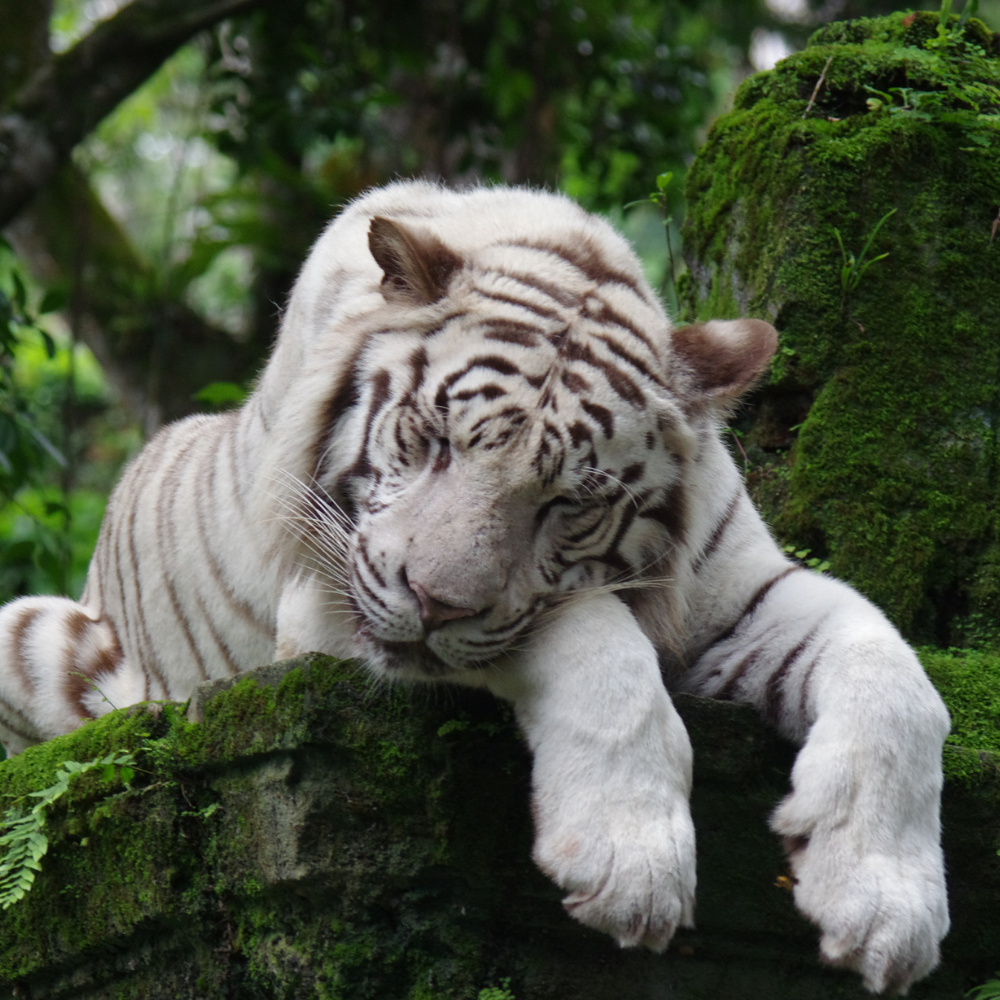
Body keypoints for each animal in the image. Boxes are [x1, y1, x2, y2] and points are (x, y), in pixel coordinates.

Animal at [0, 181, 949, 995]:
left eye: (571, 503)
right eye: (431, 438)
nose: (435, 604)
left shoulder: (743, 586)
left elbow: (897, 676)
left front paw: (888, 907)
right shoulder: (331, 597)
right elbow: (590, 624)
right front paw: (630, 854)